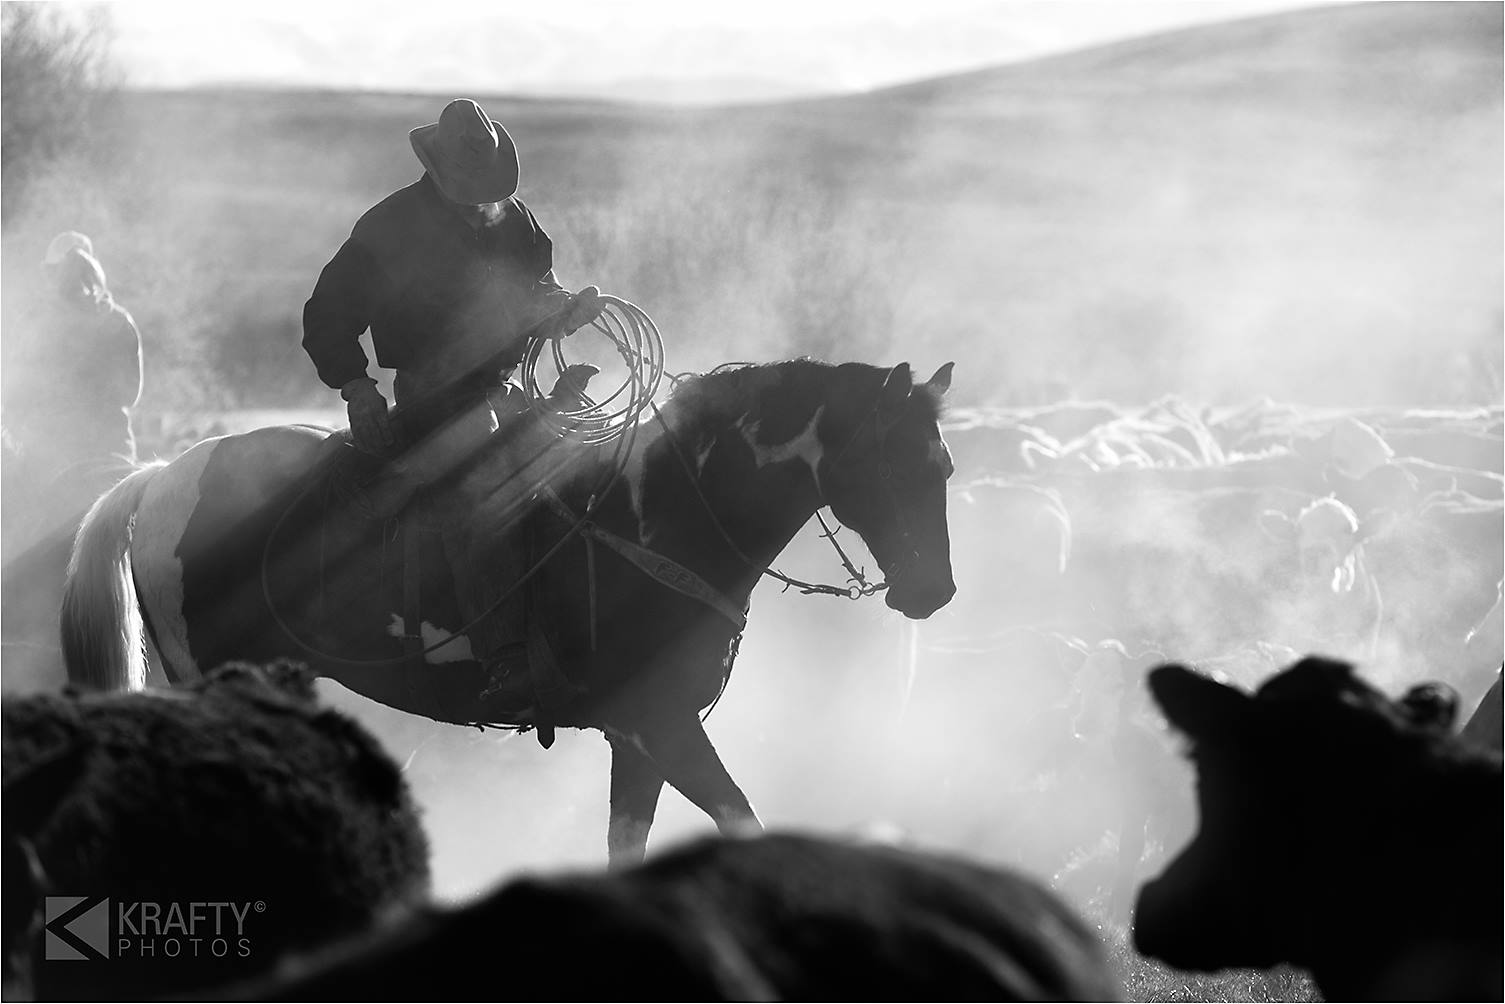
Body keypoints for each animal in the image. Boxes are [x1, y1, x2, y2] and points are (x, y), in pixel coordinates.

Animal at [59, 359, 957, 866]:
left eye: (942, 465)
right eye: (888, 460)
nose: (933, 592)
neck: (656, 513)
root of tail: (163, 476)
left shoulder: (641, 737)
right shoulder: (660, 723)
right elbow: (741, 819)